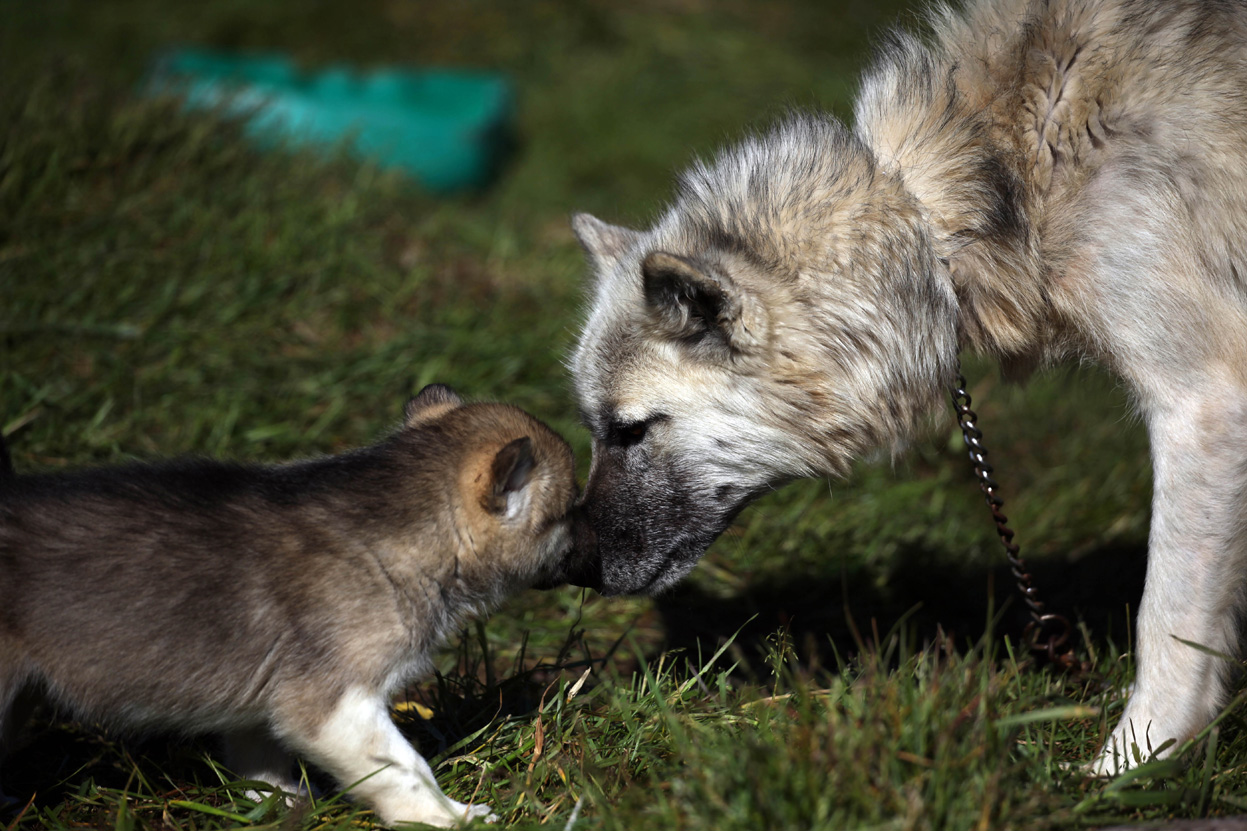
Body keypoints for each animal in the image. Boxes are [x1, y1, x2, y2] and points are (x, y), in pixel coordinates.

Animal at [0, 384, 583, 823]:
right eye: (569, 512)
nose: (593, 553)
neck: (397, 538)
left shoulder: (262, 701)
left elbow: (261, 761)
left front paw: (282, 805)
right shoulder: (334, 706)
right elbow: (407, 769)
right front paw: (449, 817)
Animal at [571, 0, 1247, 768]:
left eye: (630, 430)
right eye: (594, 429)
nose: (577, 570)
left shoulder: (1204, 403)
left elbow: (1164, 616)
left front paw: (1129, 764)